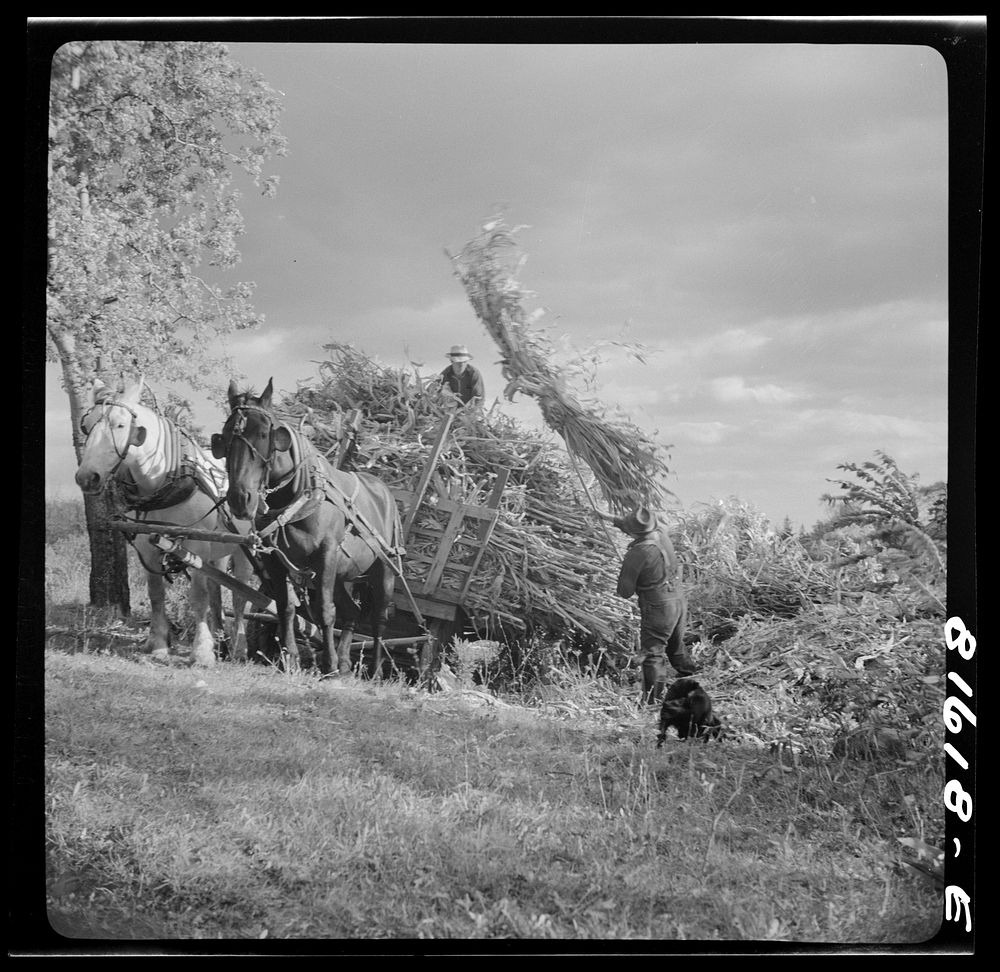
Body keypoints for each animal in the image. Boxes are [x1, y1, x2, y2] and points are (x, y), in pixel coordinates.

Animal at [75, 380, 254, 668]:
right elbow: (156, 595)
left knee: (239, 597)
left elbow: (199, 598)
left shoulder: (196, 548)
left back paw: (238, 647)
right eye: (87, 425)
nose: (87, 477)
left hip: (244, 549)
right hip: (219, 550)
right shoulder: (148, 548)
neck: (163, 482)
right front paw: (159, 644)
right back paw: (221, 642)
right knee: (218, 590)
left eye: (121, 425)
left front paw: (201, 652)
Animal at [215, 380, 402, 676]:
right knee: (351, 612)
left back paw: (374, 670)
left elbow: (325, 610)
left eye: (264, 433)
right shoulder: (276, 560)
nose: (239, 498)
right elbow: (285, 607)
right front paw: (289, 658)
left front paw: (328, 665)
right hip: (341, 575)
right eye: (224, 436)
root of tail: (382, 489)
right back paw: (346, 661)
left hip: (384, 569)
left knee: (378, 620)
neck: (295, 494)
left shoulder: (326, 554)